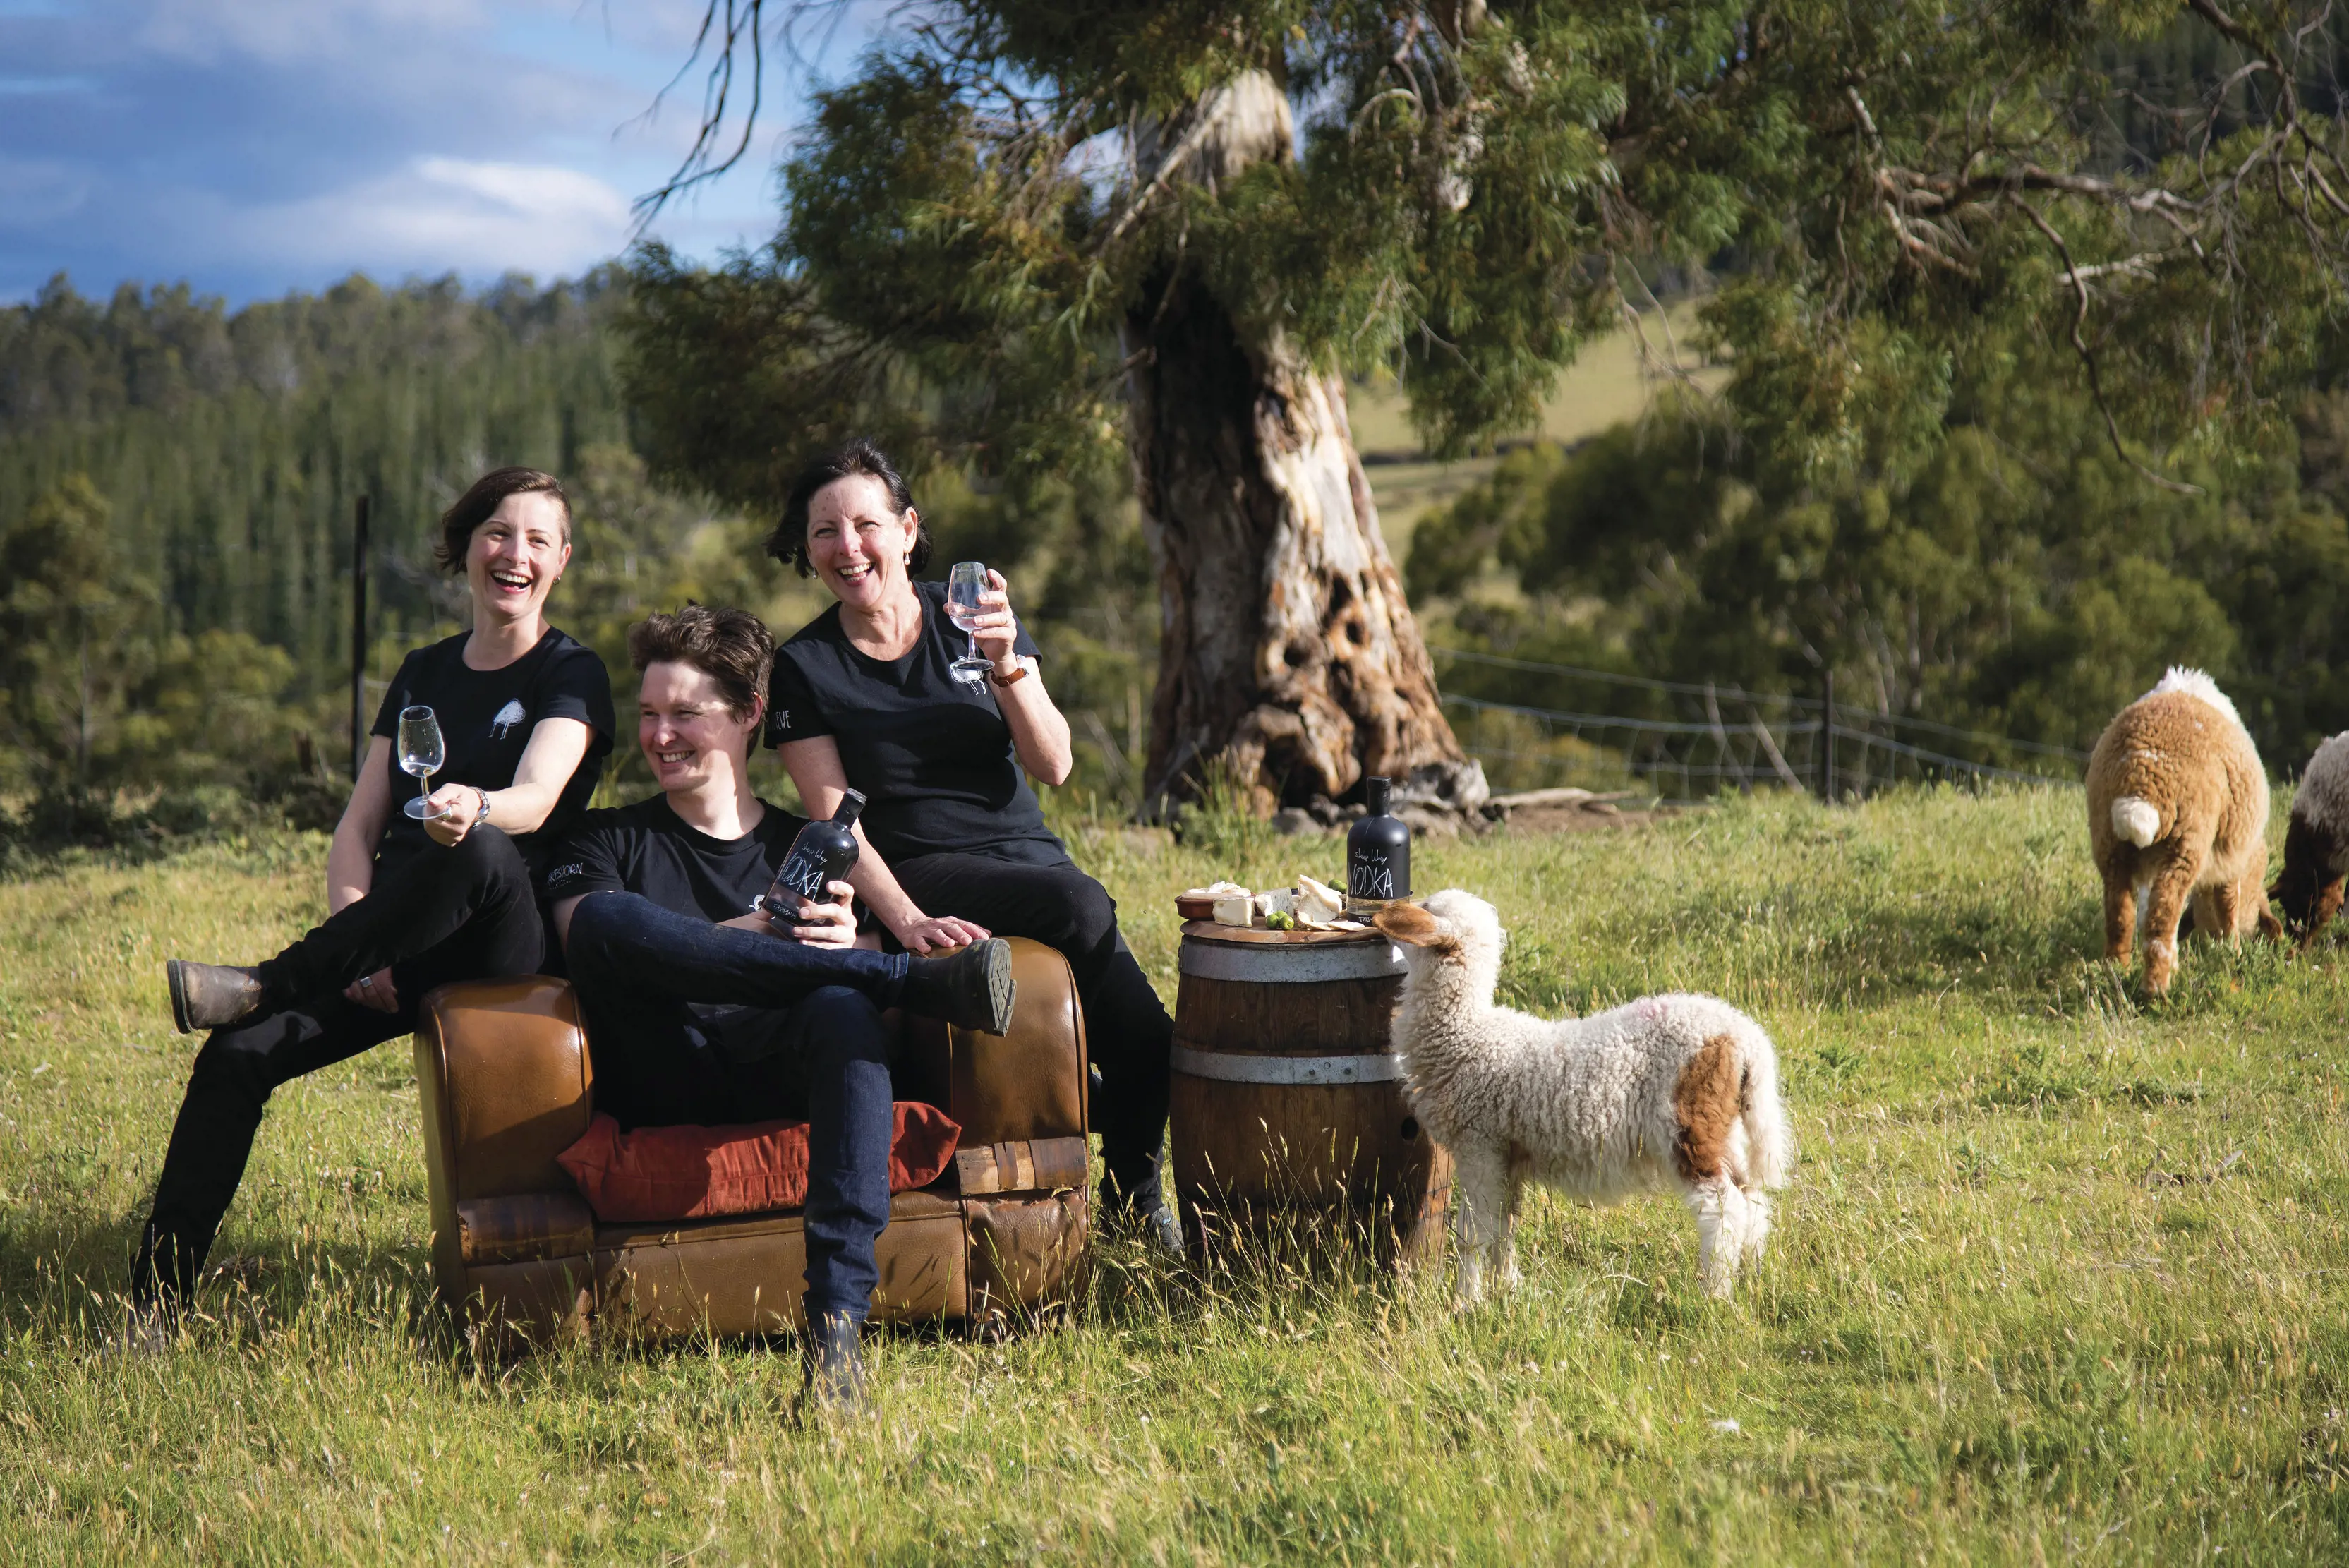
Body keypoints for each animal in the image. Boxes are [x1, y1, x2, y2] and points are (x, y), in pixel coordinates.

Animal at [1372, 888, 1785, 1307]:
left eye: (1425, 909)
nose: (1378, 917)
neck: (1467, 1033)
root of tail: (1745, 1038)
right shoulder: (1510, 1154)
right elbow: (1506, 1225)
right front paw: (1508, 1289)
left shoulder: (1480, 1146)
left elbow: (1475, 1231)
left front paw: (1466, 1301)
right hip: (1724, 1128)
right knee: (1753, 1199)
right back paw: (1751, 1275)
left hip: (1686, 1125)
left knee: (1724, 1207)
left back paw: (1713, 1292)